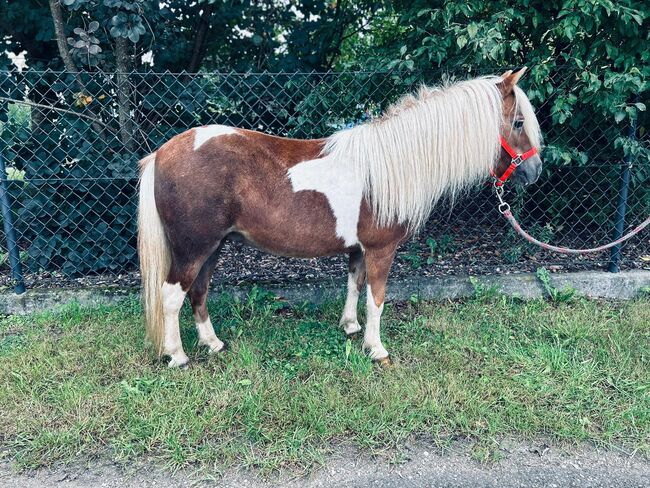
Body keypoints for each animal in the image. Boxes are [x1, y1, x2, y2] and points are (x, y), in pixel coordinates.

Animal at [138, 67, 540, 366]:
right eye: (519, 122)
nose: (535, 171)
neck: (390, 165)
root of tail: (162, 152)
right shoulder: (381, 249)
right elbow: (377, 298)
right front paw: (376, 349)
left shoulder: (359, 248)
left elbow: (354, 285)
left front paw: (349, 327)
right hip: (194, 247)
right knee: (171, 295)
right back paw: (177, 356)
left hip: (213, 246)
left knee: (199, 291)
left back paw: (213, 343)